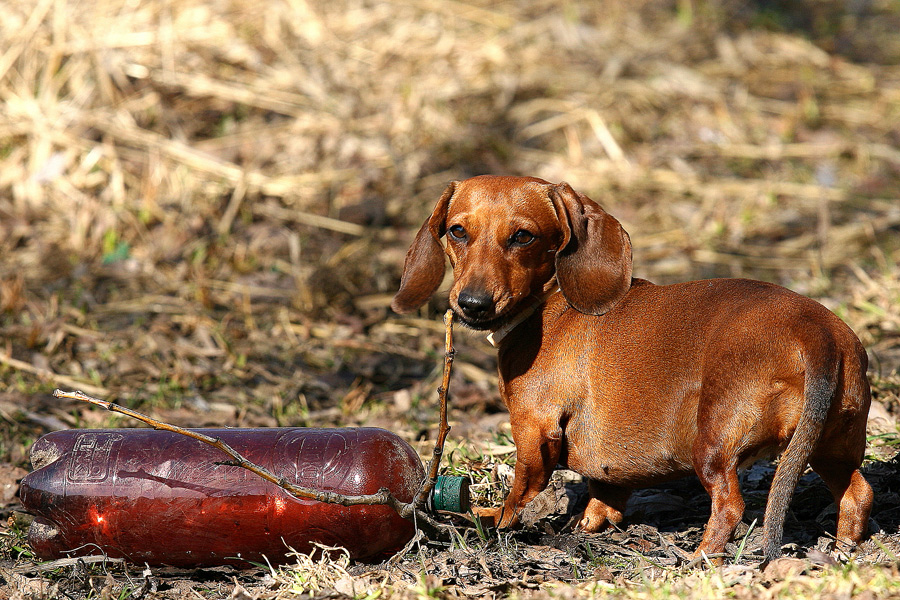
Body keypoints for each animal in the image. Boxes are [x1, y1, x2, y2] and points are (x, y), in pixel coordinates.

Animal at [394, 176, 872, 560]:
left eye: (523, 237)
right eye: (457, 231)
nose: (472, 304)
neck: (550, 303)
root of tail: (815, 332)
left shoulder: (534, 429)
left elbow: (521, 491)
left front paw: (496, 522)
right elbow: (603, 496)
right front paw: (586, 524)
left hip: (713, 442)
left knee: (730, 506)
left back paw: (698, 557)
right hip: (830, 445)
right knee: (857, 494)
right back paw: (845, 545)